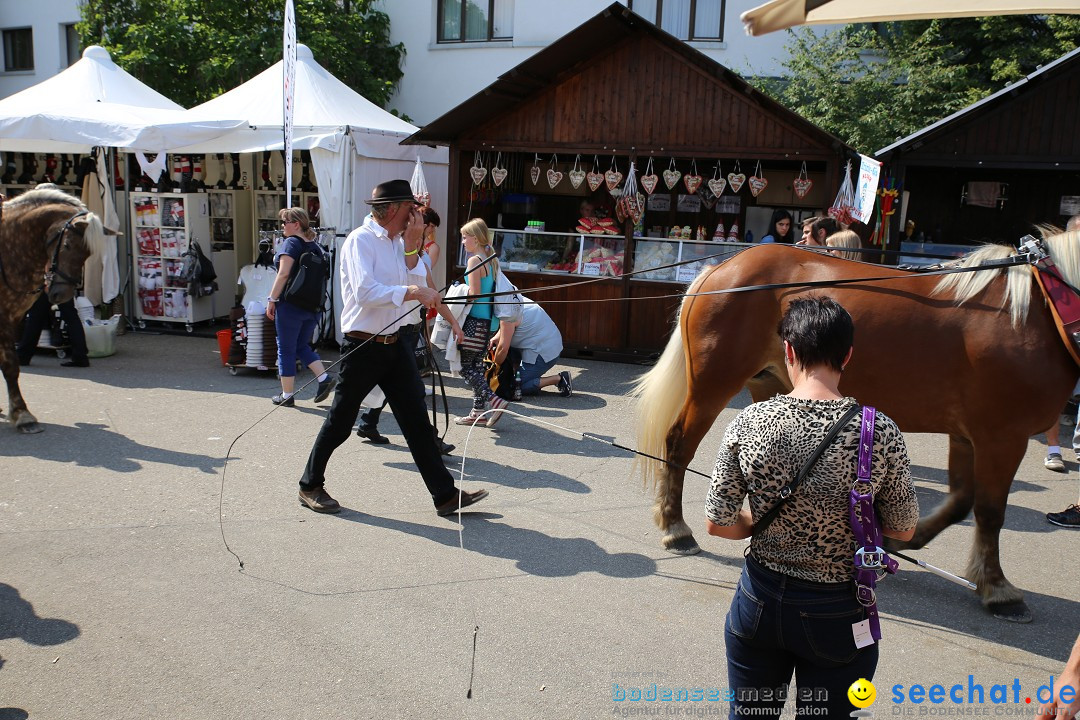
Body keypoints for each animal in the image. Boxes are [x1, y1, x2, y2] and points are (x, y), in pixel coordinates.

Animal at [0, 187, 108, 433]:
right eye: (67, 245)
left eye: (88, 253)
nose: (63, 294)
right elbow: (10, 364)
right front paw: (21, 414)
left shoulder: (13, 316)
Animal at [630, 234, 1080, 621]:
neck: (1042, 310)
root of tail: (722, 268)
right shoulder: (1002, 436)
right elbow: (989, 511)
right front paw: (998, 588)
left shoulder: (968, 434)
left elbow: (961, 502)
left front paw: (898, 540)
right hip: (714, 384)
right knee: (679, 444)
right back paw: (676, 528)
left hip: (770, 389)